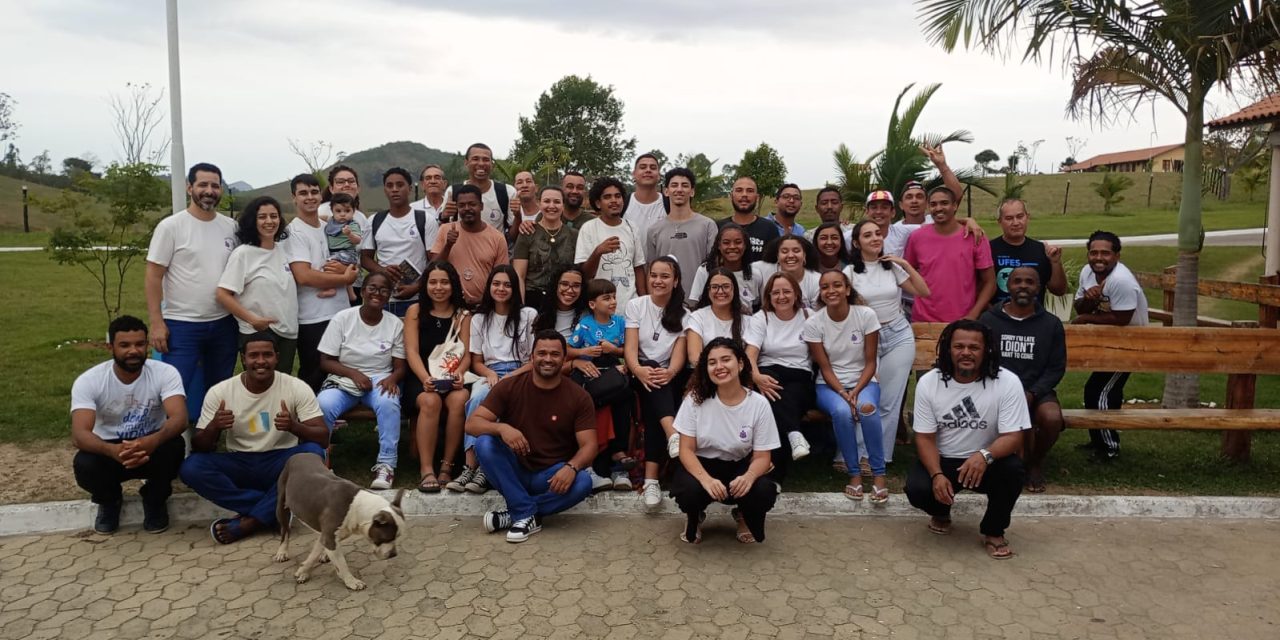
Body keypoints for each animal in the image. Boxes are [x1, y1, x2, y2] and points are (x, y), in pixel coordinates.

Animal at [273, 453, 404, 586]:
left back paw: (323, 555)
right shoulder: (330, 537)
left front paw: (303, 571)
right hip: (281, 507)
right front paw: (351, 581)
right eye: (386, 538)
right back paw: (282, 552)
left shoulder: (329, 536)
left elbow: (314, 554)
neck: (357, 507)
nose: (394, 554)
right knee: (285, 530)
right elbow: (342, 564)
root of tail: (301, 453)